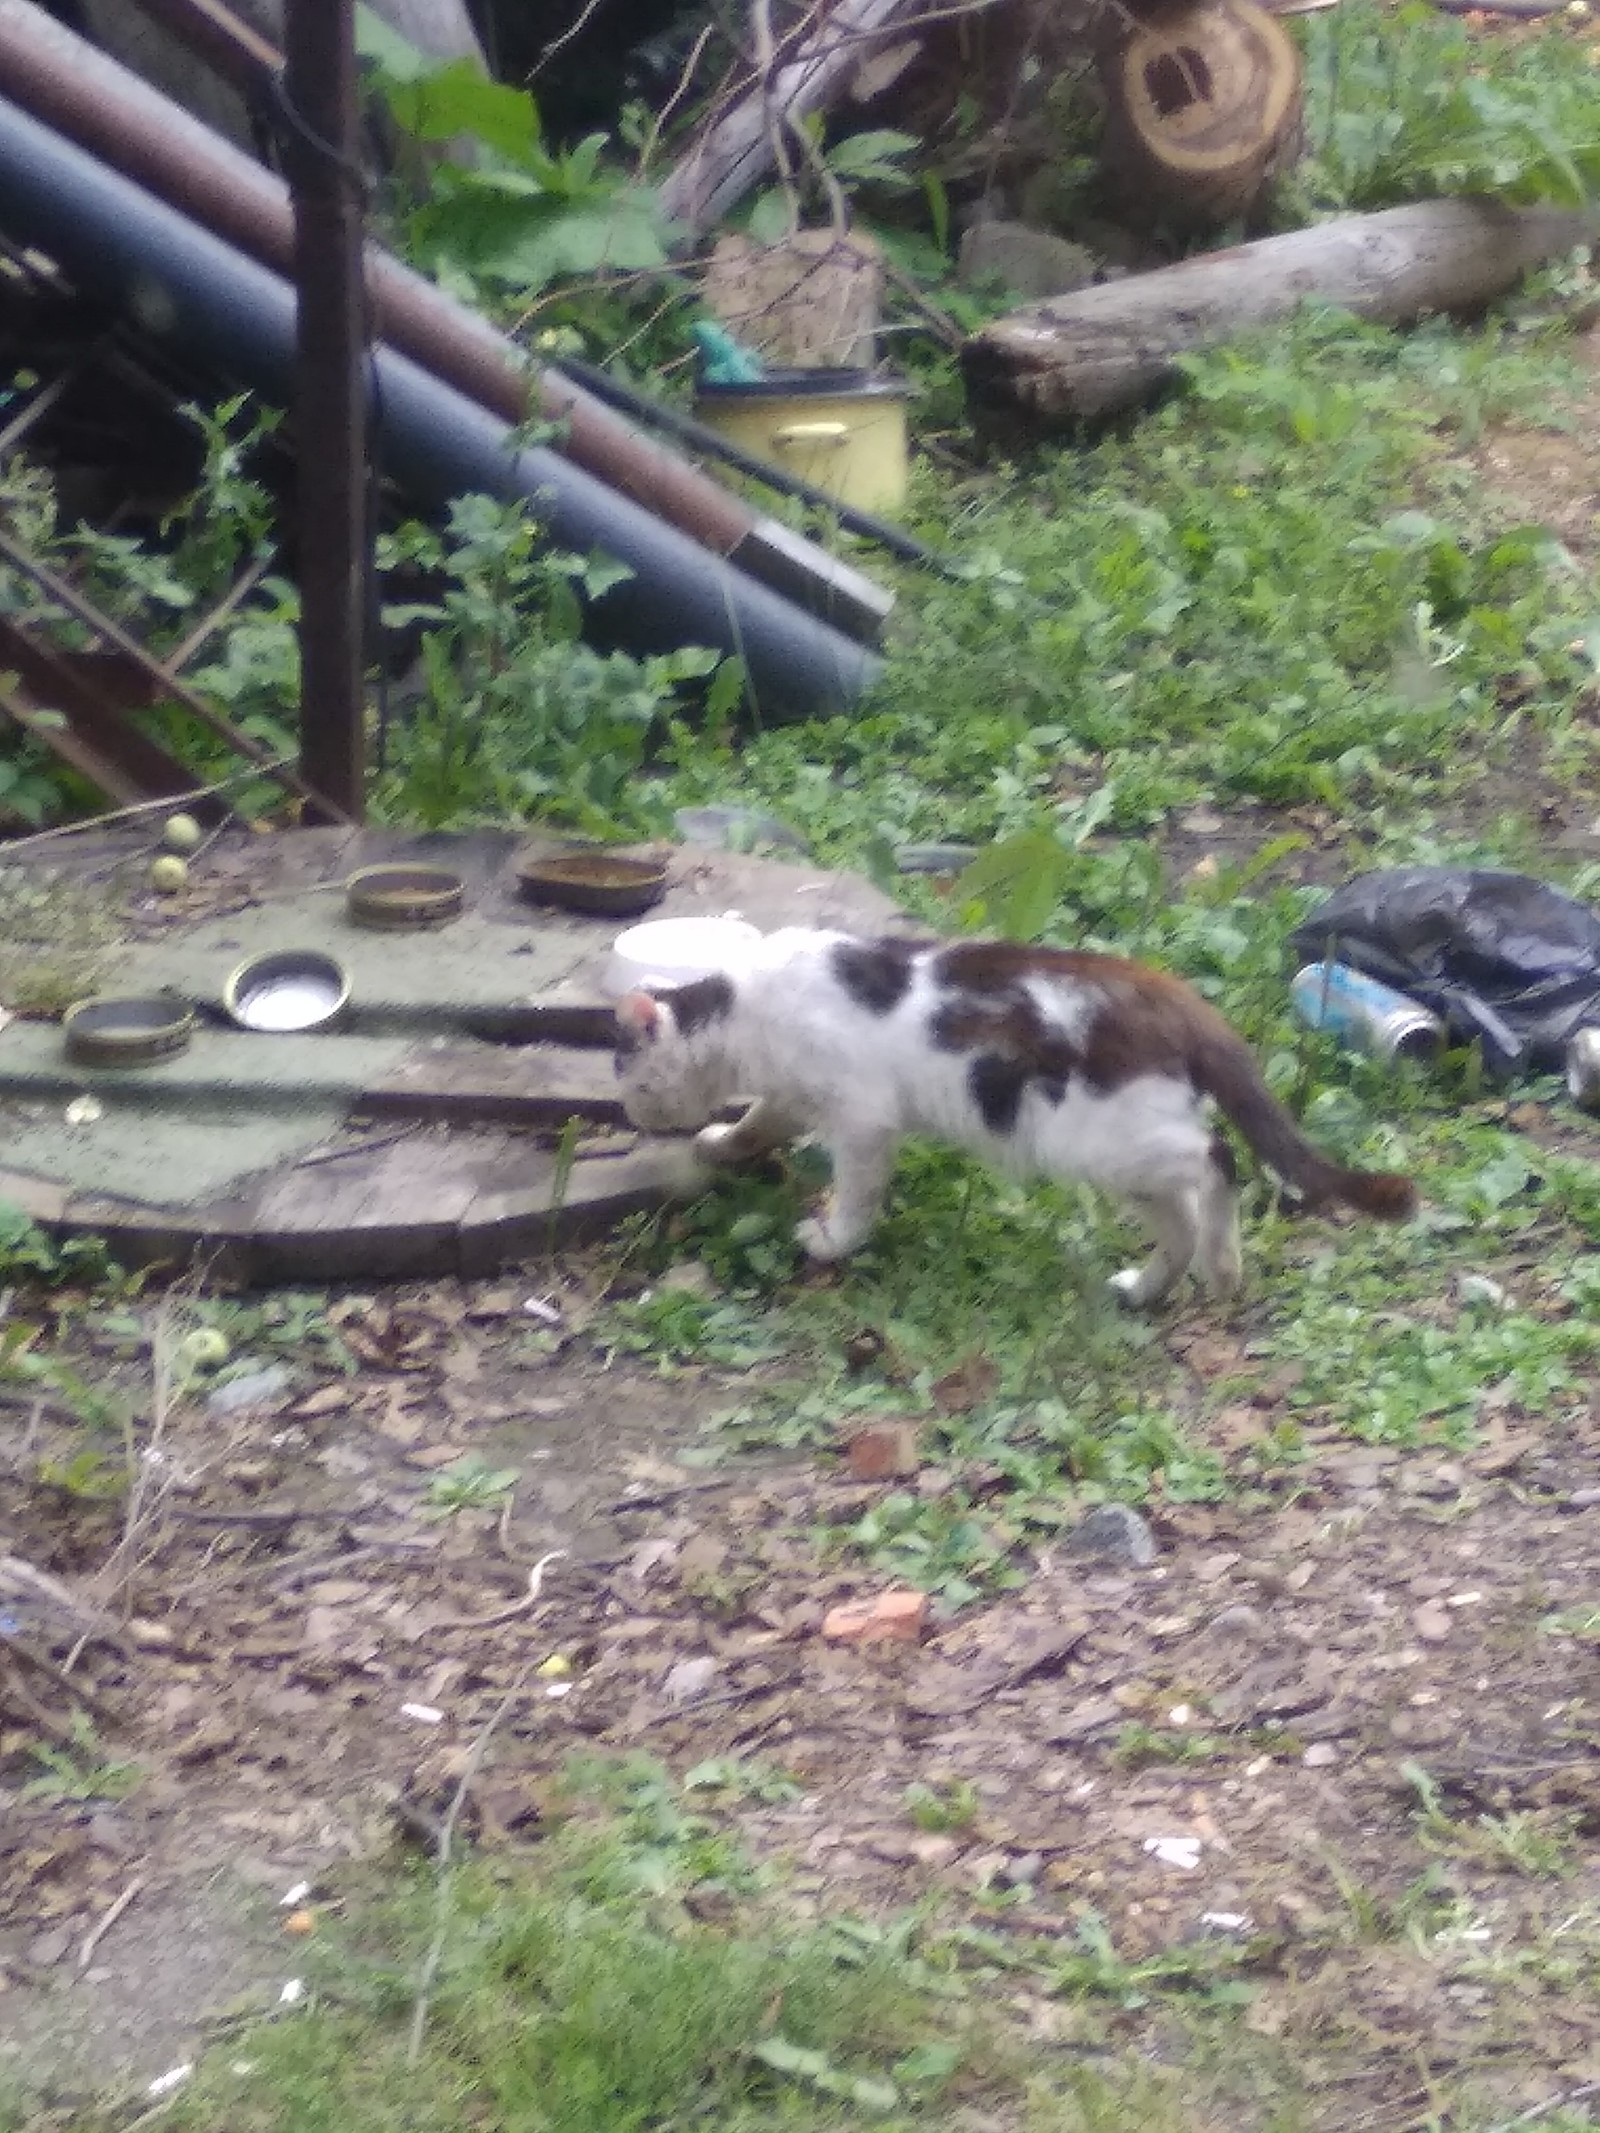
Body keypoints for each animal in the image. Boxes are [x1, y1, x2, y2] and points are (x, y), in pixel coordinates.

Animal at [614, 929, 1416, 1305]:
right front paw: (721, 1141)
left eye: (624, 1075)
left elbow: (858, 1192)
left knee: (1217, 1159)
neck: (745, 1005)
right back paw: (1155, 1285)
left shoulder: (863, 1117)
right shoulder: (788, 1095)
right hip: (1122, 1155)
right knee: (1185, 1208)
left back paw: (1222, 1265)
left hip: (1100, 1138)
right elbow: (758, 1122)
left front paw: (834, 1240)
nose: (630, 1112)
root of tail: (1174, 996)